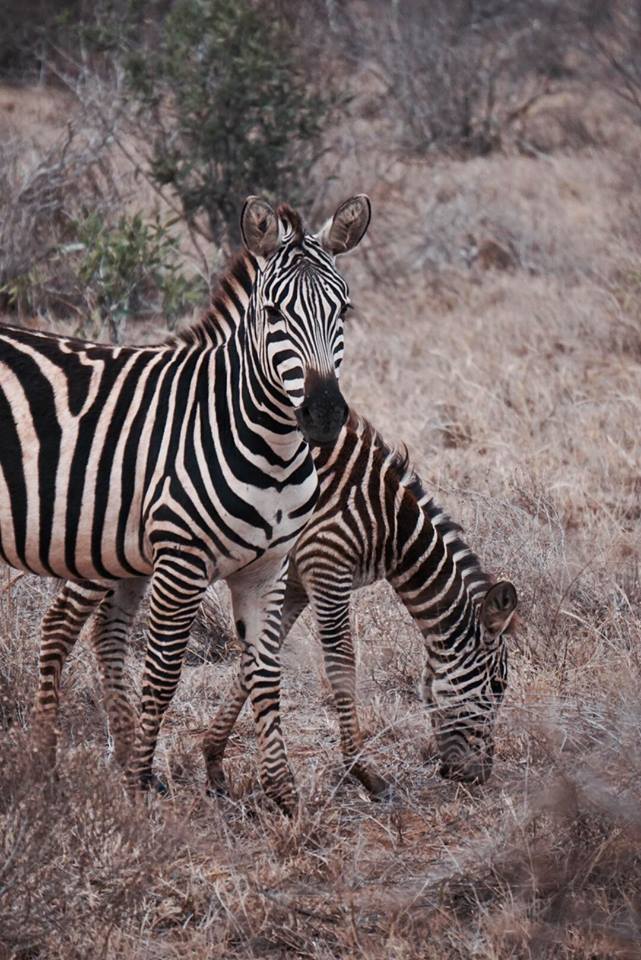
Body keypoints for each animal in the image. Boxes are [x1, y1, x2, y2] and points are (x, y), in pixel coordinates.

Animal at [1, 195, 370, 808]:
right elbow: (163, 675)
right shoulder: (181, 560)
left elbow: (264, 672)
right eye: (272, 313)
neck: (268, 443)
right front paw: (136, 787)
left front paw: (283, 797)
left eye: (342, 311)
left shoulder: (268, 568)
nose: (323, 416)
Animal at [202, 416, 516, 800]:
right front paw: (363, 772)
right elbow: (342, 664)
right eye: (497, 687)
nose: (480, 775)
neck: (393, 527)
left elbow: (256, 659)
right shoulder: (326, 562)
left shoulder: (293, 581)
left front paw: (213, 759)